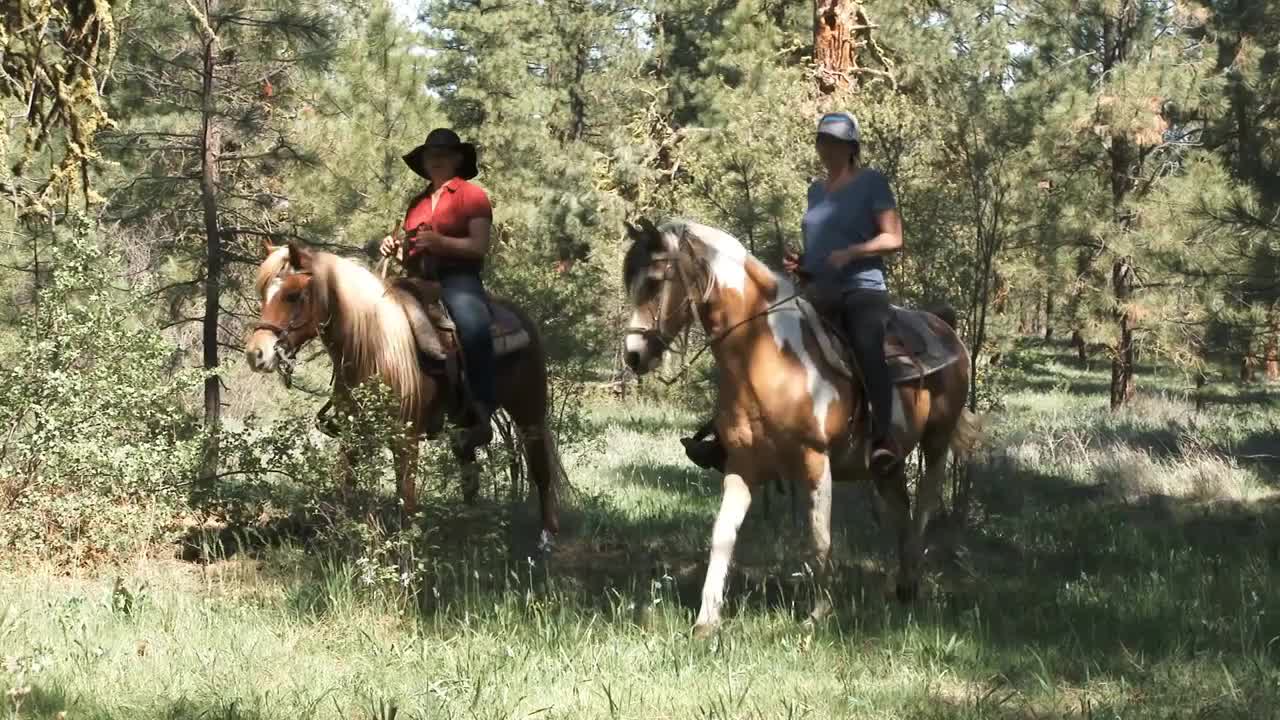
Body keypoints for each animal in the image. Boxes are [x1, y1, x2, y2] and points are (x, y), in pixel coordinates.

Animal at [243, 238, 560, 545]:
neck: (374, 348)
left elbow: (406, 500)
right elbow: (346, 489)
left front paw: (406, 553)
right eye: (264, 294)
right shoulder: (352, 435)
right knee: (469, 471)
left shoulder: (405, 437)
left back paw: (547, 536)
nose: (256, 354)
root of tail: (521, 318)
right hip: (465, 422)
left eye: (293, 295)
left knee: (541, 470)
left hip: (529, 411)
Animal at [619, 215, 977, 630]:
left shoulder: (815, 460)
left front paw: (819, 613)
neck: (763, 354)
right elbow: (723, 534)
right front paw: (707, 619)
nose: (634, 356)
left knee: (923, 508)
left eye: (655, 281)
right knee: (901, 510)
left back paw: (912, 583)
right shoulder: (743, 464)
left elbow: (819, 537)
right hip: (887, 464)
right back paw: (903, 588)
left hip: (937, 440)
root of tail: (944, 326)